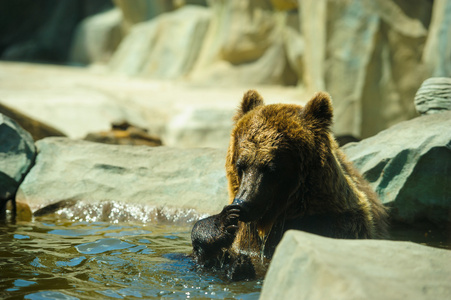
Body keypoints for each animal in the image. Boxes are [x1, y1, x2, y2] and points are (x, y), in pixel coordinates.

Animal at [191, 90, 388, 280]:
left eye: (271, 168)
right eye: (241, 165)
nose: (242, 204)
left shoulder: (338, 224)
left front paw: (240, 265)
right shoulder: (247, 236)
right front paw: (223, 224)